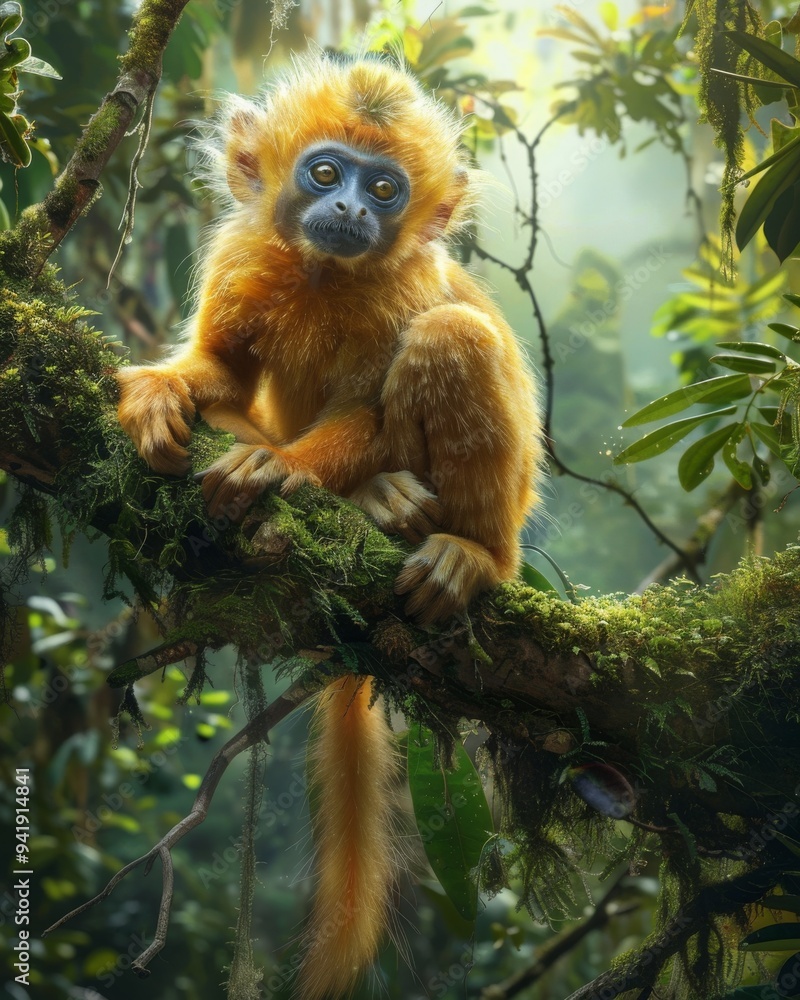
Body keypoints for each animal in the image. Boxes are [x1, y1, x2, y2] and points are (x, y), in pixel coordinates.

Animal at [116, 53, 542, 999]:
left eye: (384, 188)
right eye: (324, 173)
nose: (350, 210)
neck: (321, 275)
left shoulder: (406, 281)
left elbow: (373, 406)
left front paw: (280, 472)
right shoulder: (241, 254)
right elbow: (219, 373)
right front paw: (164, 392)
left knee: (451, 332)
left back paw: (459, 546)